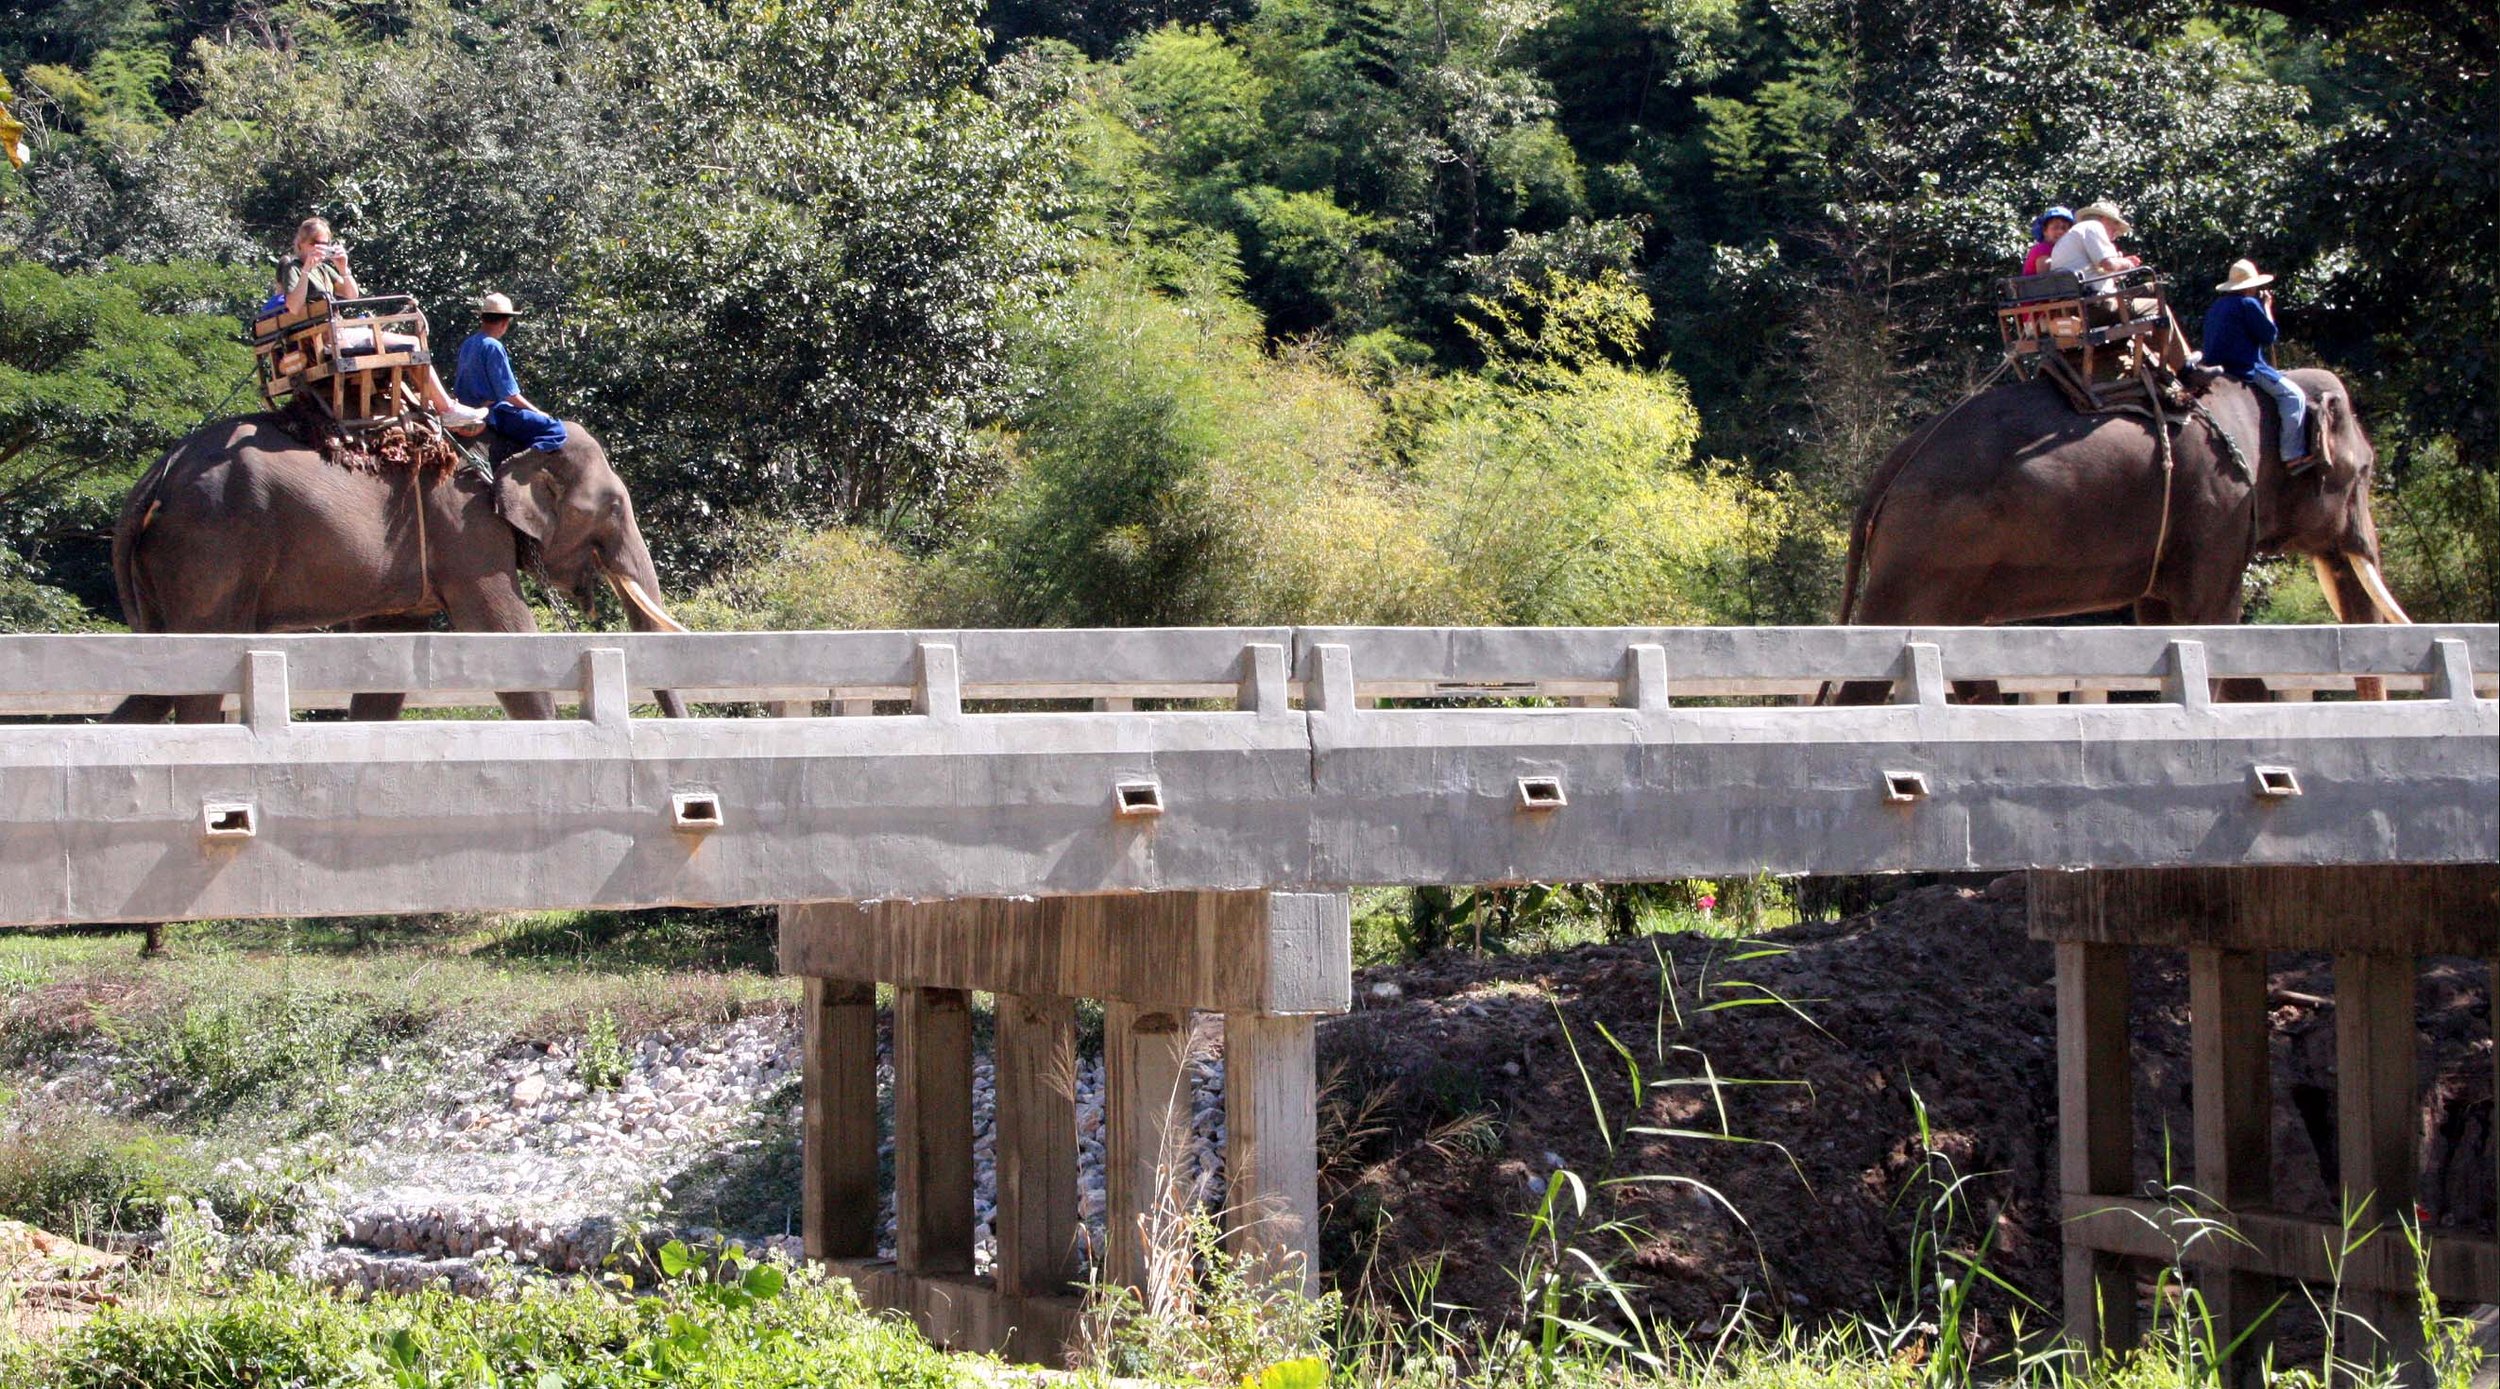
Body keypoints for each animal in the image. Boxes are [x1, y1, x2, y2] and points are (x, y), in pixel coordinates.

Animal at [106, 413, 692, 723]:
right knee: (197, 671)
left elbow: (386, 661)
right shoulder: (466, 529)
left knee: (155, 682)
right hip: (214, 545)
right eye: (613, 507)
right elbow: (503, 633)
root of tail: (157, 475)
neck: (507, 441)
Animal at [1830, 368, 2407, 702]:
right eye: (2364, 474)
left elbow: (2161, 621)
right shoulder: (2220, 505)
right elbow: (2212, 618)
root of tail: (1897, 463)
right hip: (1924, 552)